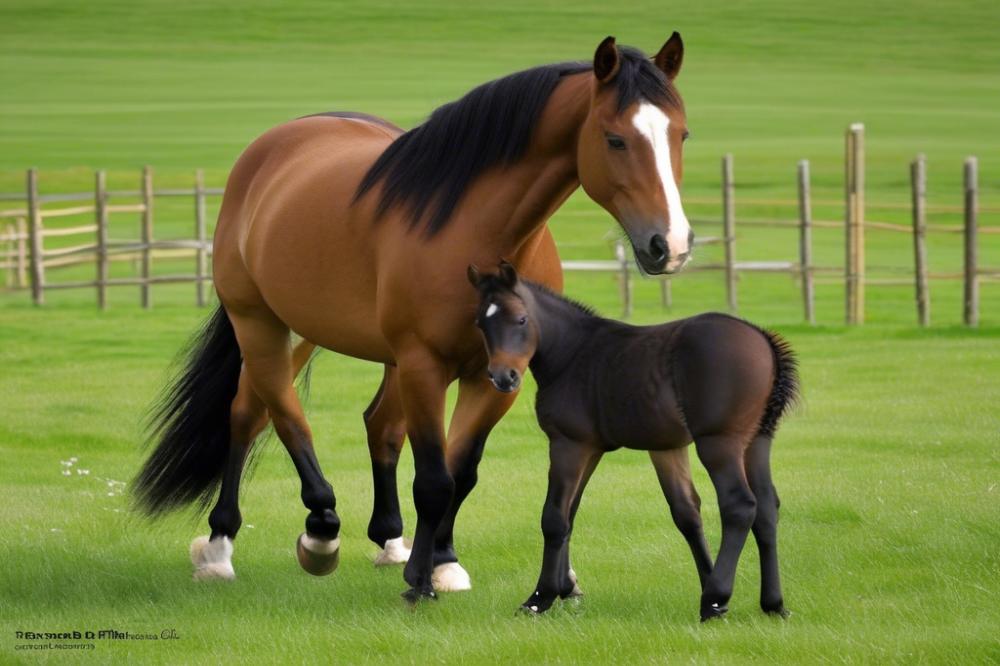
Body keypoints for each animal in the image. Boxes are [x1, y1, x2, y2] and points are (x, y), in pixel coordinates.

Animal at [133, 33, 696, 600]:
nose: (668, 245)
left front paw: (442, 559)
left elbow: (461, 471)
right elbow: (433, 478)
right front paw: (422, 580)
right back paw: (265, 540)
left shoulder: (493, 376)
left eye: (682, 134)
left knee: (365, 423)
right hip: (260, 323)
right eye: (615, 139)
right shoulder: (425, 364)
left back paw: (388, 539)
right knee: (270, 414)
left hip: (330, 337)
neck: (473, 230)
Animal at [466, 262, 796, 620]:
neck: (571, 354)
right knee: (767, 508)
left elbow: (554, 516)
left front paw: (540, 597)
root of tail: (764, 339)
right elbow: (678, 513)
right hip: (758, 442)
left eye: (521, 319)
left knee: (740, 505)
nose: (503, 377)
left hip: (719, 443)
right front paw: (567, 589)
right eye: (481, 323)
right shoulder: (637, 447)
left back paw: (714, 599)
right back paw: (773, 603)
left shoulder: (568, 443)